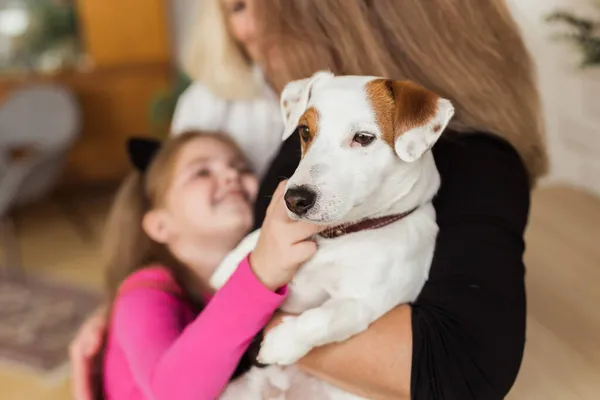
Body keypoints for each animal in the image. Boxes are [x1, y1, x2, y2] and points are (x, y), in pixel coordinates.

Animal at [211, 70, 454, 398]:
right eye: (304, 131)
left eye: (363, 138)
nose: (294, 199)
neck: (340, 234)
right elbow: (255, 238)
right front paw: (228, 267)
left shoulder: (362, 303)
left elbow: (321, 319)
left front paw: (281, 342)